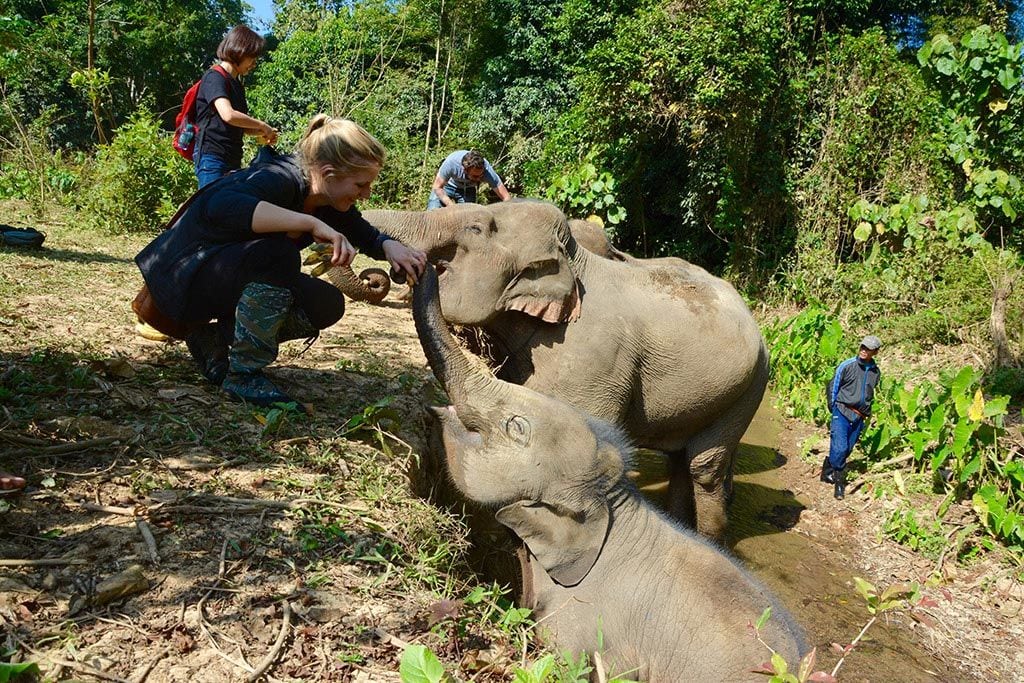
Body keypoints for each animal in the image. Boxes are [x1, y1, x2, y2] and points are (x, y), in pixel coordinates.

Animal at [363, 200, 768, 541]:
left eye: (476, 229)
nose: (408, 266)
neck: (576, 260)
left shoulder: (594, 361)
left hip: (750, 389)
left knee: (704, 466)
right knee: (680, 461)